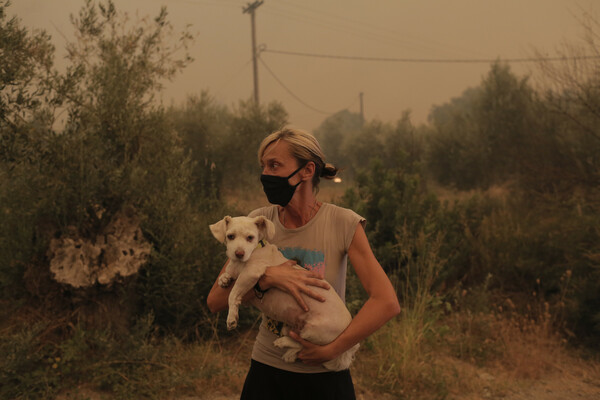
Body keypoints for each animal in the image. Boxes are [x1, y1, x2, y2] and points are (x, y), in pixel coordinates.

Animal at [209, 216, 358, 372]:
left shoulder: (251, 273)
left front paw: (231, 318)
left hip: (313, 331)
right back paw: (289, 354)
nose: (239, 254)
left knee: (303, 344)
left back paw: (283, 343)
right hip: (296, 327)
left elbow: (233, 294)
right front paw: (224, 279)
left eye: (250, 237)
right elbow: (228, 275)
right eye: (230, 236)